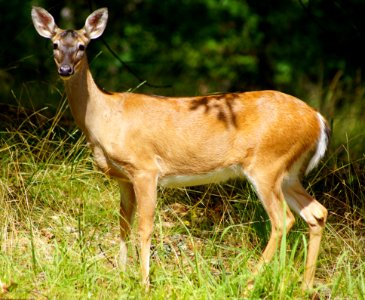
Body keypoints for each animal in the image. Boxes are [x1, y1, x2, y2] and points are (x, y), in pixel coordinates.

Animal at [32, 6, 330, 292]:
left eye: (82, 46)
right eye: (54, 45)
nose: (65, 70)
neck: (106, 117)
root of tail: (317, 119)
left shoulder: (145, 168)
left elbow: (144, 227)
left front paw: (144, 283)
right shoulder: (122, 177)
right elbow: (123, 225)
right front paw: (121, 276)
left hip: (267, 164)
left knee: (283, 219)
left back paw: (247, 283)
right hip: (288, 172)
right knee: (316, 213)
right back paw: (304, 286)